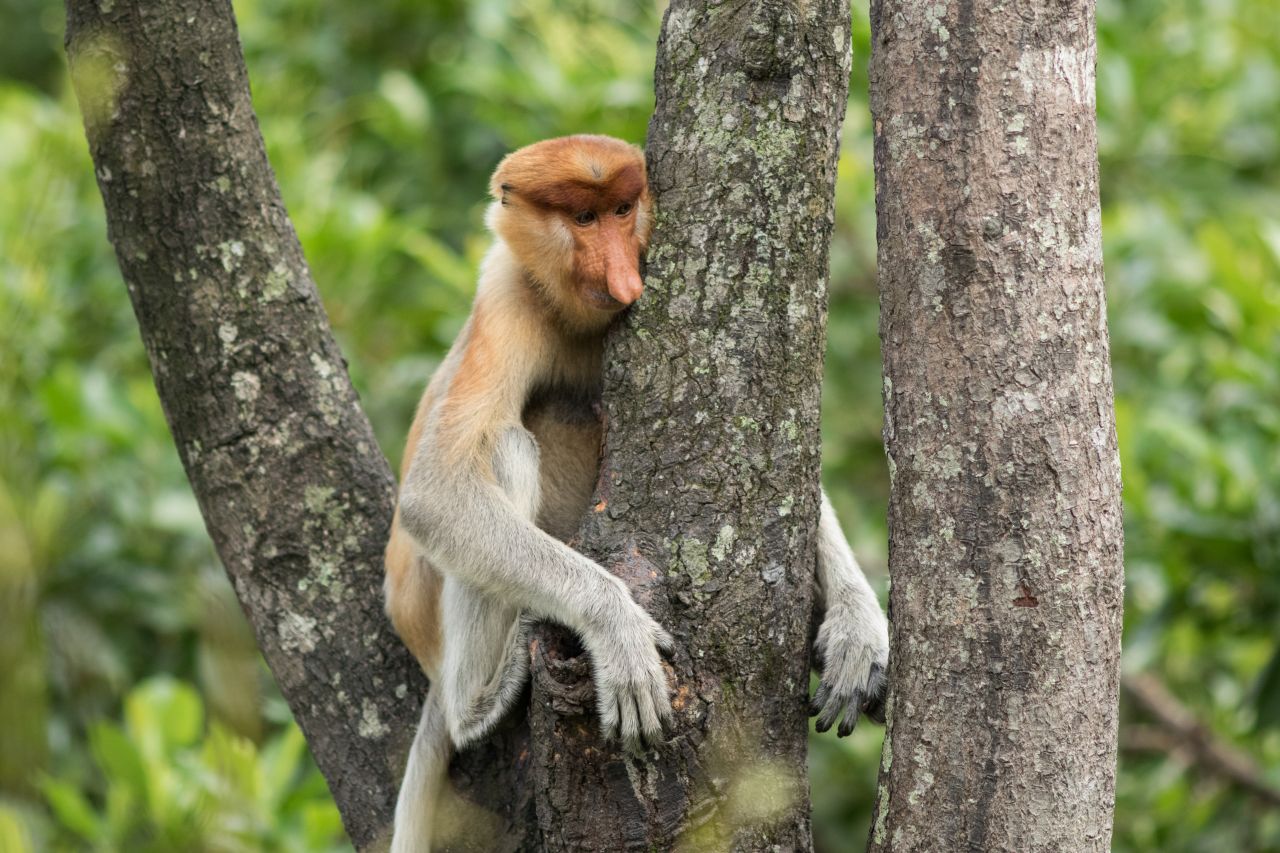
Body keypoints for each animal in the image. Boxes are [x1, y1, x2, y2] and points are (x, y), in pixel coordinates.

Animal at [383, 134, 889, 851]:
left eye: (623, 210)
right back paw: (476, 705)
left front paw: (858, 630)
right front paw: (618, 633)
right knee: (504, 448)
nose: (624, 278)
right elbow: (434, 492)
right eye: (583, 219)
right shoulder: (508, 299)